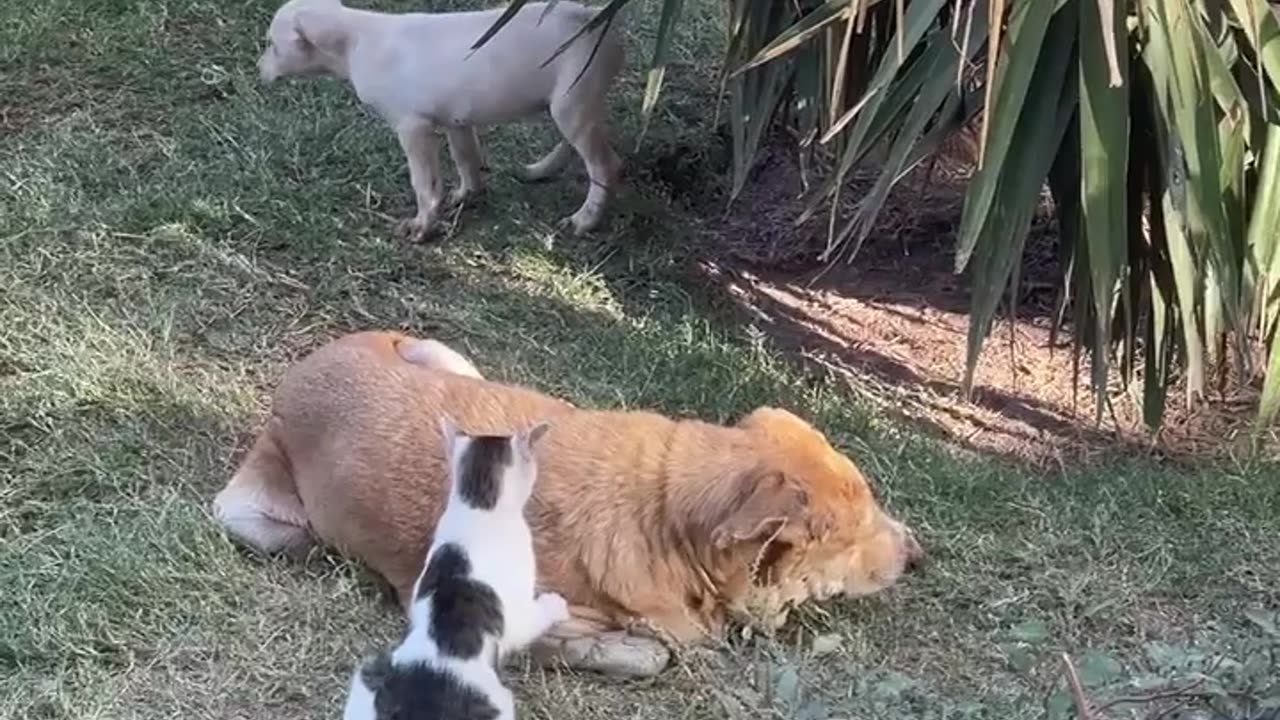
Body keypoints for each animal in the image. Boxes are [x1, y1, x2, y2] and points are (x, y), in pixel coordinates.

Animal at [215, 330, 926, 671]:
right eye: (852, 536)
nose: (919, 554)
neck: (665, 515)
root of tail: (297, 376)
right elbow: (647, 652)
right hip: (252, 522)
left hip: (451, 359)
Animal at [256, 0, 624, 240]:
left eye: (272, 45)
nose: (258, 71)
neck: (357, 40)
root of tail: (593, 15)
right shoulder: (456, 122)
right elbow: (466, 159)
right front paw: (467, 194)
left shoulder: (413, 129)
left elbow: (425, 184)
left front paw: (422, 227)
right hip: (569, 104)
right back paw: (540, 169)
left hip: (571, 105)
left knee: (604, 165)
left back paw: (585, 219)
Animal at [348, 415, 573, 717]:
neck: (480, 509)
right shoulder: (518, 615)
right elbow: (534, 618)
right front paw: (557, 604)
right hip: (498, 704)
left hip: (367, 677)